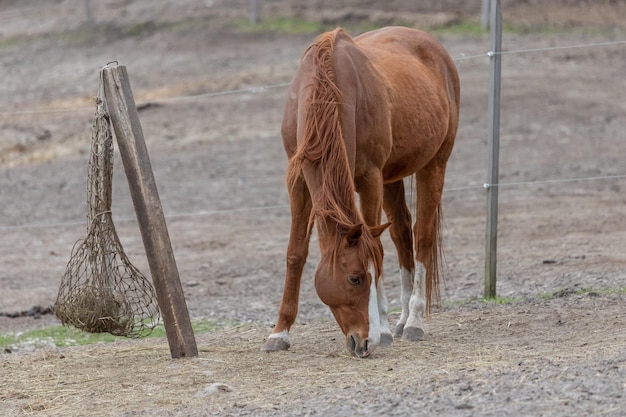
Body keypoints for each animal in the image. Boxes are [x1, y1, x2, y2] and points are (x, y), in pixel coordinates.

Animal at [260, 26, 460, 358]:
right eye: (354, 278)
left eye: (366, 276)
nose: (363, 342)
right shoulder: (299, 180)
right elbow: (295, 253)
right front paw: (279, 333)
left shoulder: (370, 178)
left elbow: (376, 248)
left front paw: (382, 330)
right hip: (393, 178)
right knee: (402, 234)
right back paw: (403, 320)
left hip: (434, 165)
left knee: (422, 236)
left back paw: (414, 322)